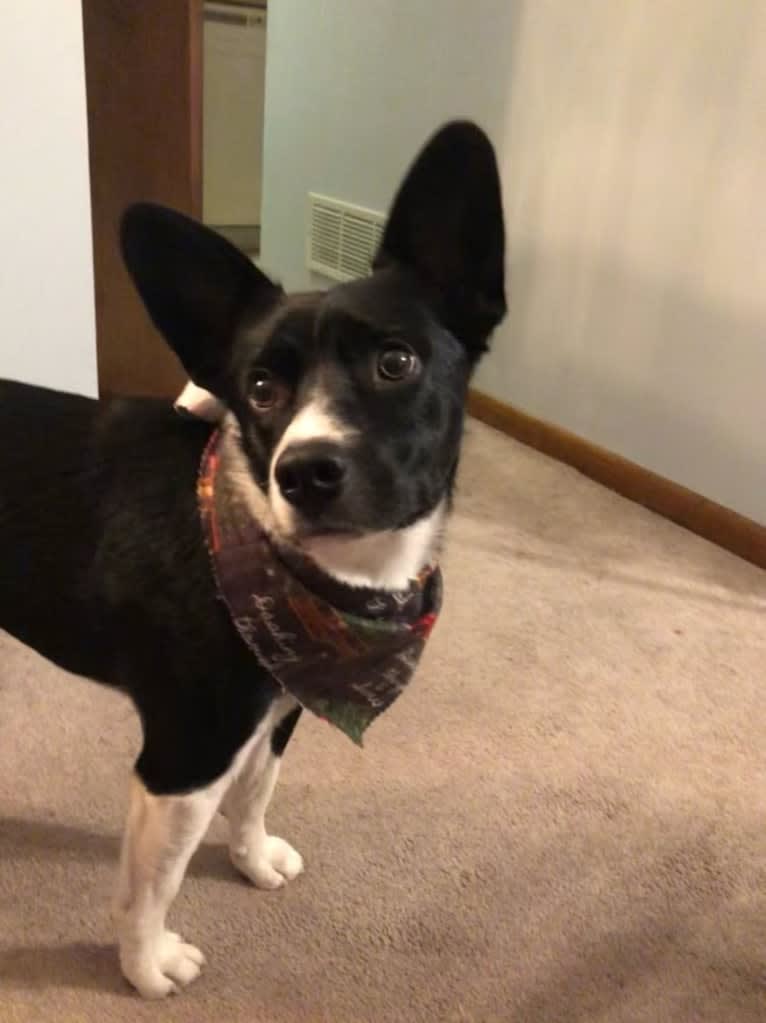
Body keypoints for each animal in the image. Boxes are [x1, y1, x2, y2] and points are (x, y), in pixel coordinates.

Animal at [0, 121, 505, 998]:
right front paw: (146, 966)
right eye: (260, 387)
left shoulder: (280, 700)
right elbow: (153, 881)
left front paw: (250, 858)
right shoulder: (185, 754)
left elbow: (256, 790)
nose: (305, 471)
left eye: (396, 362)